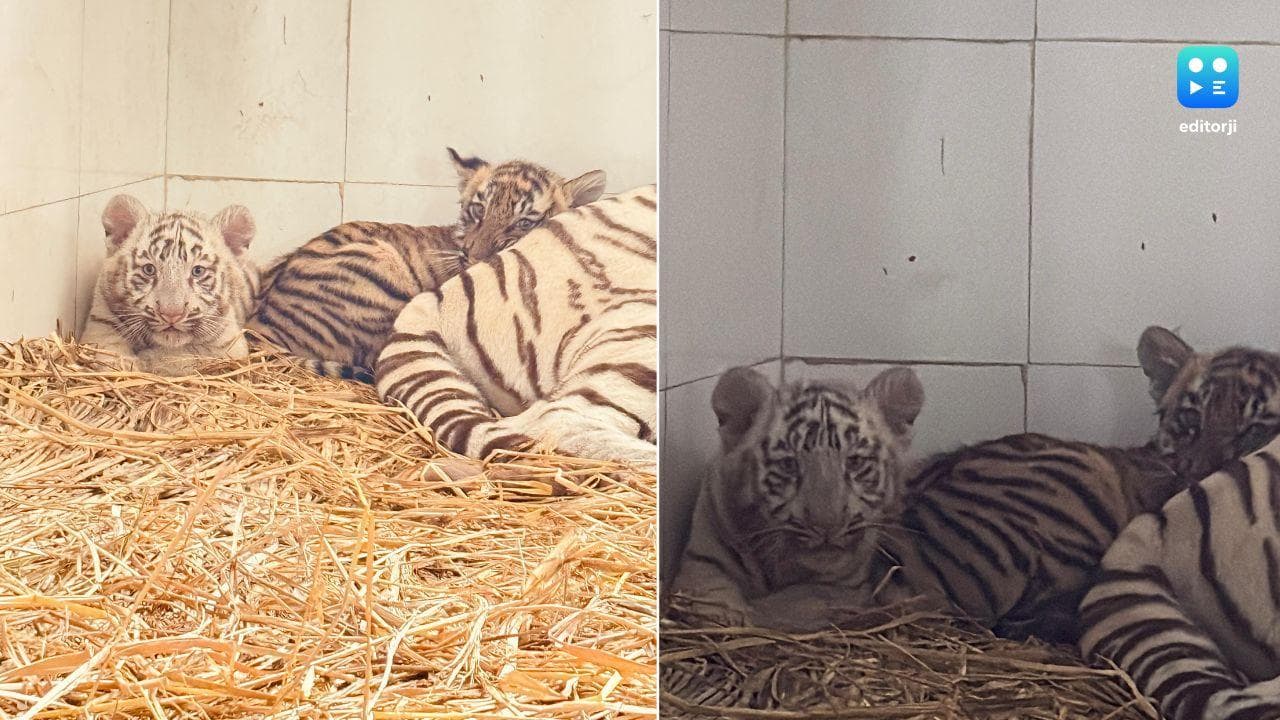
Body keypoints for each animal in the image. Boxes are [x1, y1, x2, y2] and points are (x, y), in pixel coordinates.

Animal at [79, 193, 260, 376]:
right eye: (149, 269)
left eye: (198, 271)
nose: (172, 314)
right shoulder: (100, 324)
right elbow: (109, 350)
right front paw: (126, 365)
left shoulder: (231, 343)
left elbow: (188, 355)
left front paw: (148, 361)